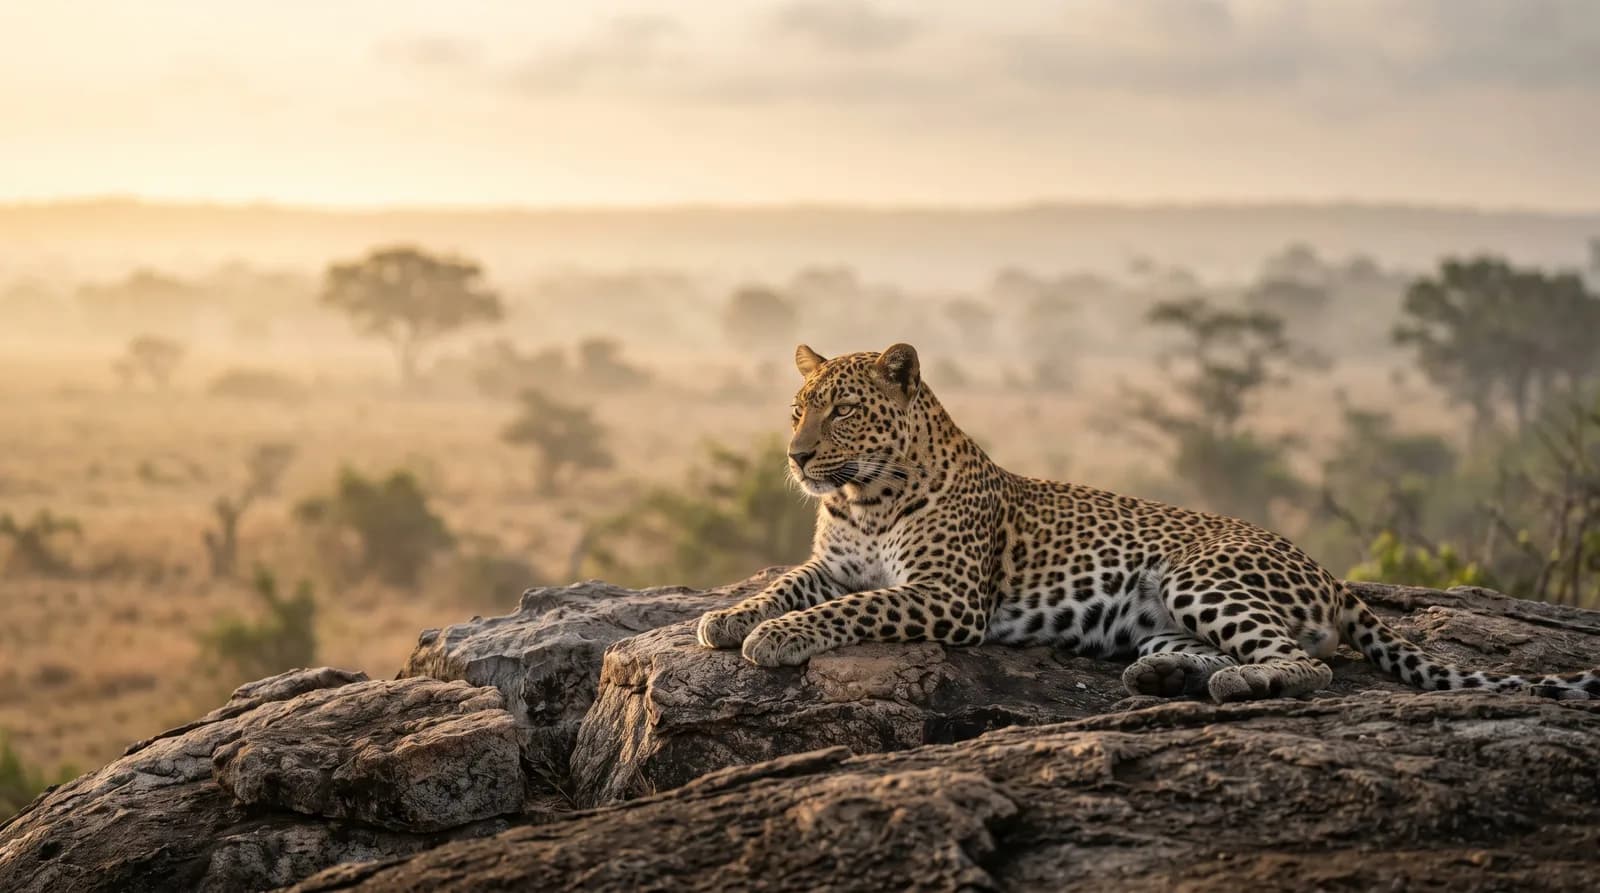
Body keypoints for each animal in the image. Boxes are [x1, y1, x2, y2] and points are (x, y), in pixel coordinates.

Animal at [696, 342, 1600, 703]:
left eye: (843, 412)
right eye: (796, 410)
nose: (796, 457)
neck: (868, 495)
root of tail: (1327, 570)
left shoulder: (944, 596)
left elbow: (849, 608)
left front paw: (770, 638)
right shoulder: (834, 561)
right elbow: (791, 584)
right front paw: (729, 616)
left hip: (1201, 574)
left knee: (1307, 665)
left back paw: (1232, 685)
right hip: (1162, 614)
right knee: (1230, 651)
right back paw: (1164, 677)